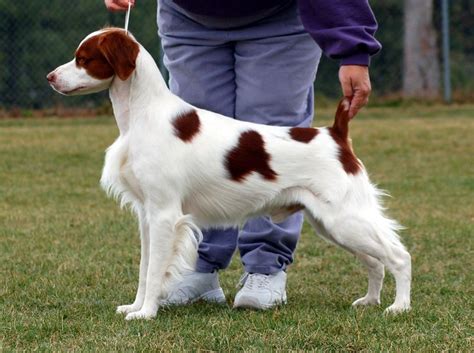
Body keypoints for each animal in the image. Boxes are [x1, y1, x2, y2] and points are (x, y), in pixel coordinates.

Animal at [49, 27, 412, 320]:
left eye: (83, 58)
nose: (50, 77)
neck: (142, 115)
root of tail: (335, 133)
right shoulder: (146, 215)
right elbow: (144, 267)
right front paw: (135, 306)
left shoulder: (165, 214)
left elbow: (154, 272)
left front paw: (147, 313)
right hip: (331, 224)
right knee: (375, 262)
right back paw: (369, 301)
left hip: (345, 219)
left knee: (399, 256)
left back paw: (399, 307)